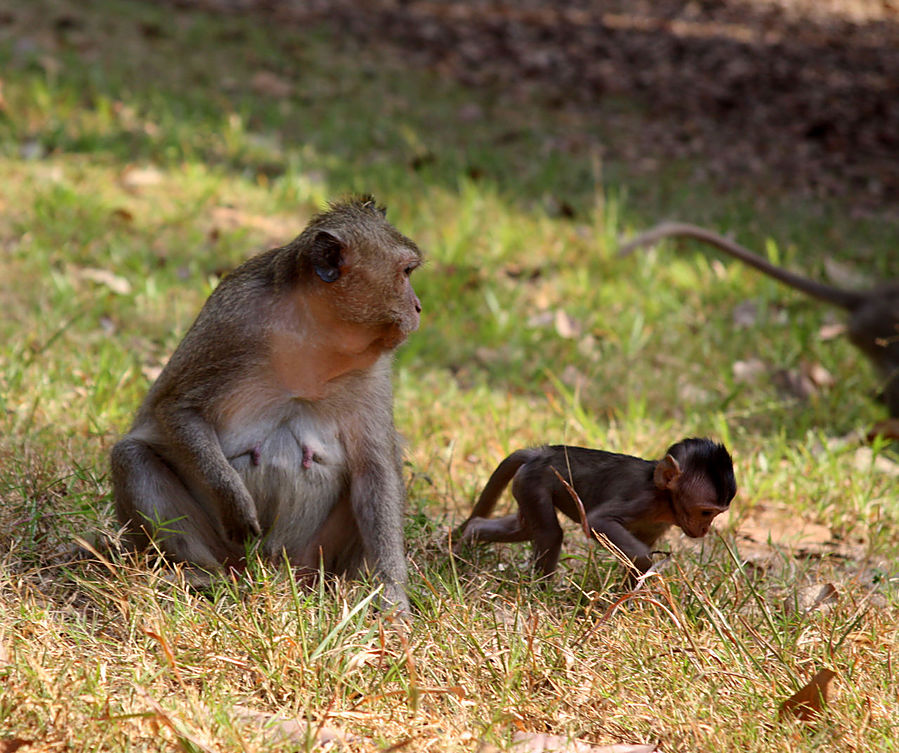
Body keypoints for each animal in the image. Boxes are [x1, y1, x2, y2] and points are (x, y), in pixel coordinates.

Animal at [111, 197, 422, 612]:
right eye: (406, 273)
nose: (418, 307)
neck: (315, 332)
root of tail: (267, 571)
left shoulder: (373, 371)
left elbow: (375, 473)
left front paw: (391, 594)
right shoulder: (234, 324)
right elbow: (177, 409)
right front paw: (234, 500)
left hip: (311, 560)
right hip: (226, 551)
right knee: (131, 456)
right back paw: (200, 575)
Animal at [458, 438, 740, 580]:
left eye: (716, 515)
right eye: (705, 512)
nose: (705, 529)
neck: (664, 499)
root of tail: (539, 454)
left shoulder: (658, 523)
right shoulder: (642, 499)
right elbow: (597, 522)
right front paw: (643, 562)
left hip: (524, 485)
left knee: (523, 529)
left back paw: (471, 533)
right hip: (533, 482)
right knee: (550, 533)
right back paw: (541, 592)